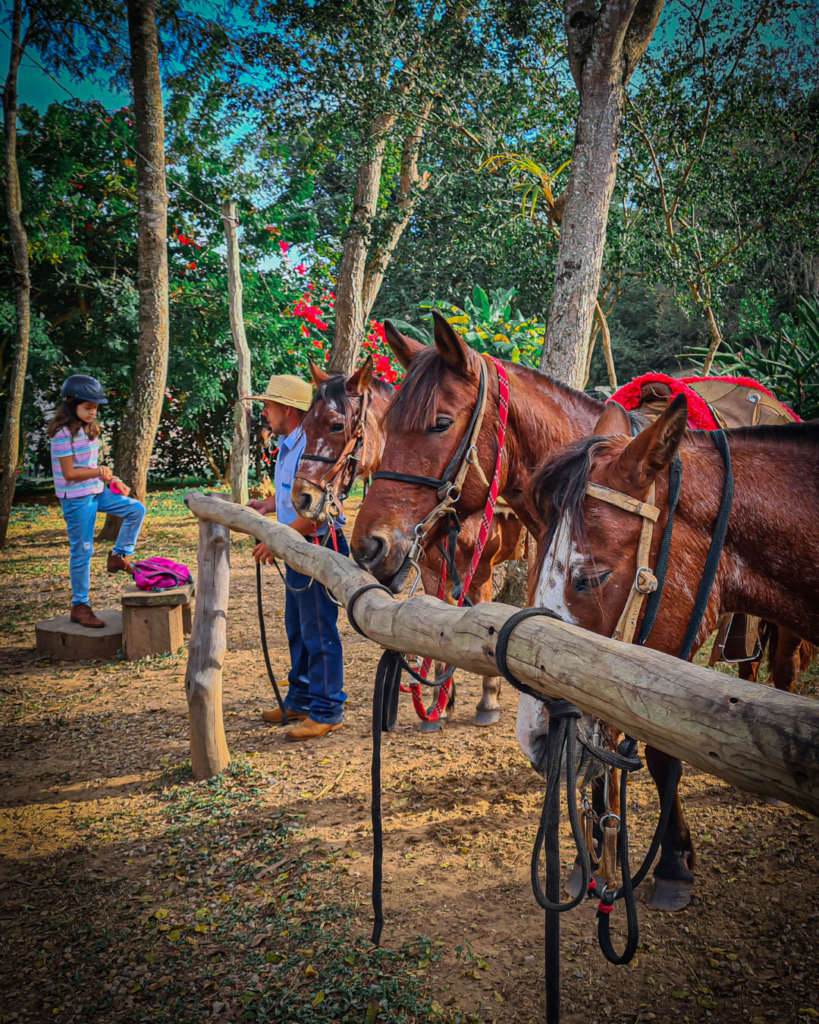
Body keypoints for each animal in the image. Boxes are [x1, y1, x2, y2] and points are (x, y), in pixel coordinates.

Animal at [290, 358, 522, 729]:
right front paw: (439, 703)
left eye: (336, 426)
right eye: (306, 428)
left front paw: (488, 700)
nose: (301, 498)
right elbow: (437, 624)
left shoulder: (480, 571)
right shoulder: (430, 569)